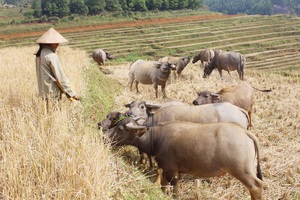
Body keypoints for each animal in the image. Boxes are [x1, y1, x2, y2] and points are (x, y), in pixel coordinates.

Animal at [105, 118, 262, 199]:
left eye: (120, 129)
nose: (105, 136)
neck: (157, 138)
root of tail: (245, 132)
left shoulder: (172, 171)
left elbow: (175, 191)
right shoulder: (166, 170)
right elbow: (163, 186)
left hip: (242, 171)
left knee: (256, 186)